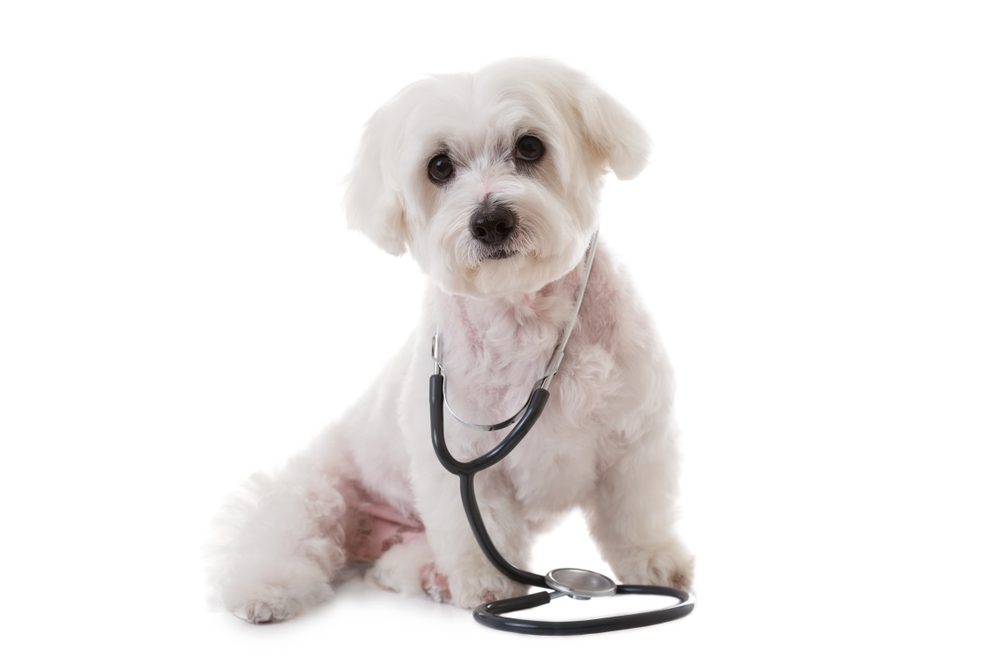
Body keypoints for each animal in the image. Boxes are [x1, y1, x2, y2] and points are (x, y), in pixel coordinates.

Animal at [209, 58, 696, 628]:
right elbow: (477, 524)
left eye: (530, 147)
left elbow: (637, 514)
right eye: (439, 166)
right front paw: (489, 586)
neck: (523, 315)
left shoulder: (636, 438)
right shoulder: (461, 460)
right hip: (315, 490)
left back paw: (428, 575)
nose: (490, 220)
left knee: (396, 563)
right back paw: (266, 589)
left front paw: (654, 564)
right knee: (286, 532)